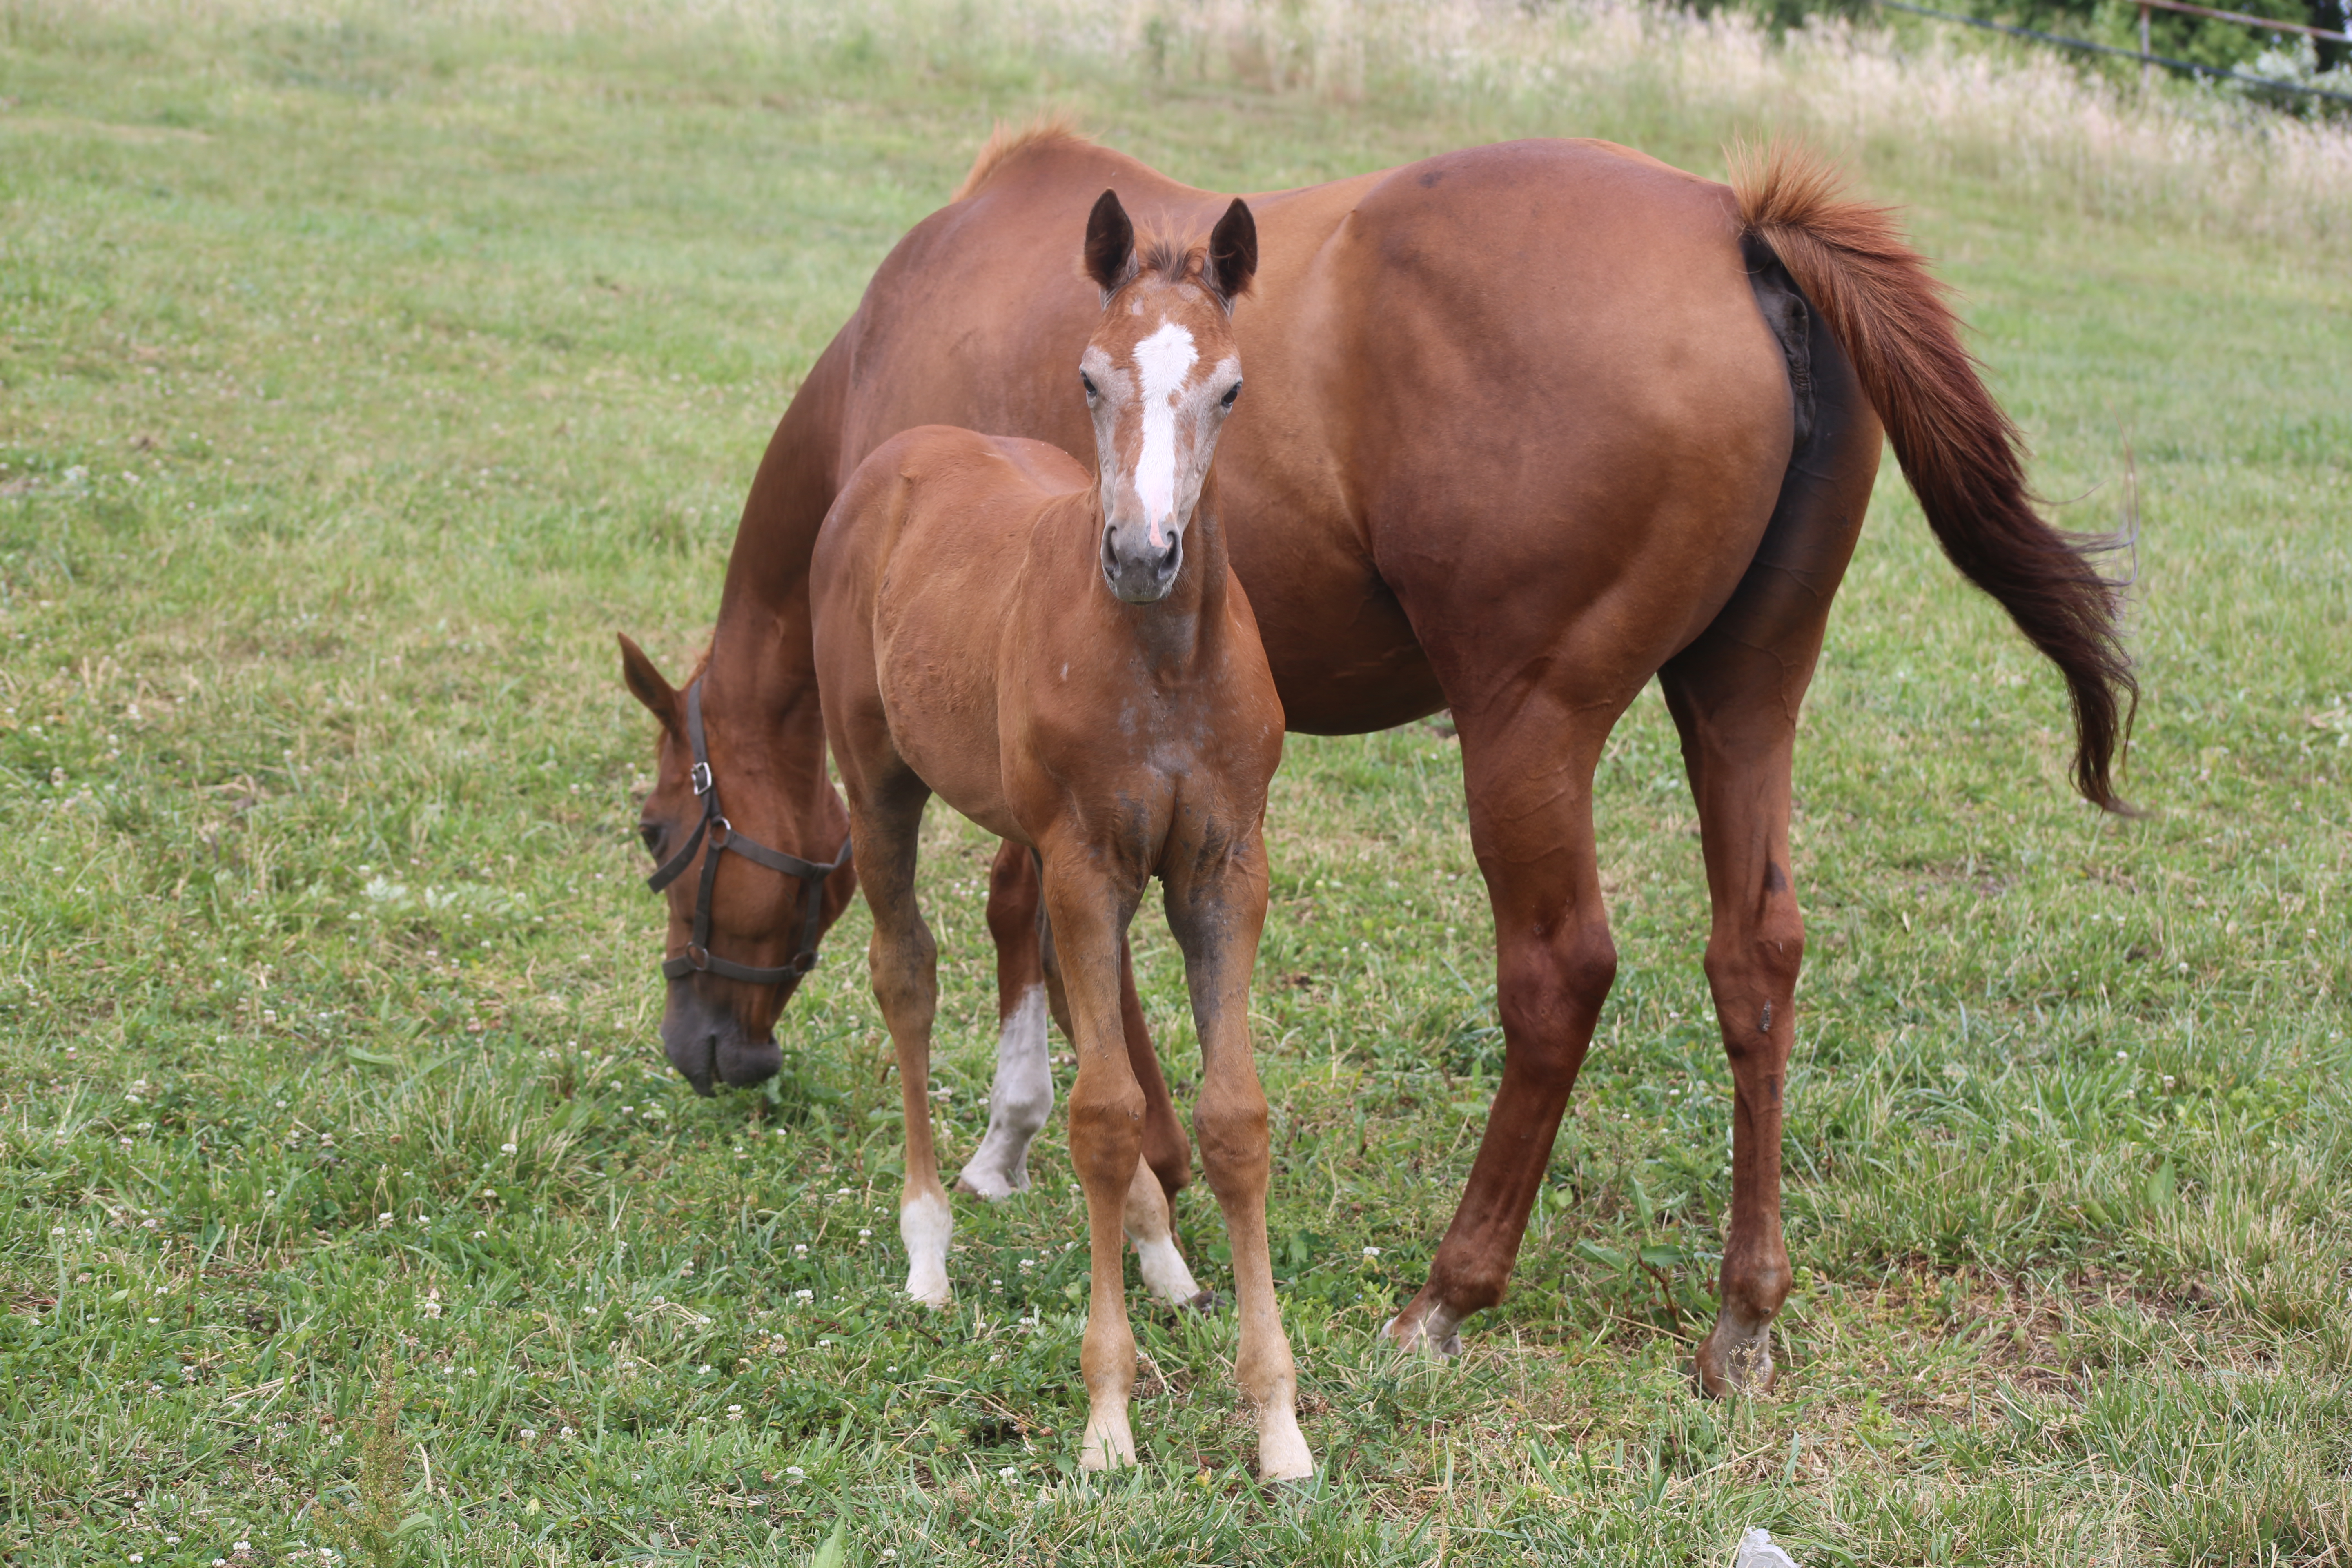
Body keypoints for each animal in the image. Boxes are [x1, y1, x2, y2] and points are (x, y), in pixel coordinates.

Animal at [809, 190, 1307, 1476]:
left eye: (1230, 389)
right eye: (1089, 377)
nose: (1140, 553)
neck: (1165, 663)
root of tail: (900, 457)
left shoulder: (1221, 868)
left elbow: (1226, 1117)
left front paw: (1278, 1425)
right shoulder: (1088, 861)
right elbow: (1104, 1117)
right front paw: (1107, 1419)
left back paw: (1161, 1252)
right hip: (880, 782)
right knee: (906, 973)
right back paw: (926, 1247)